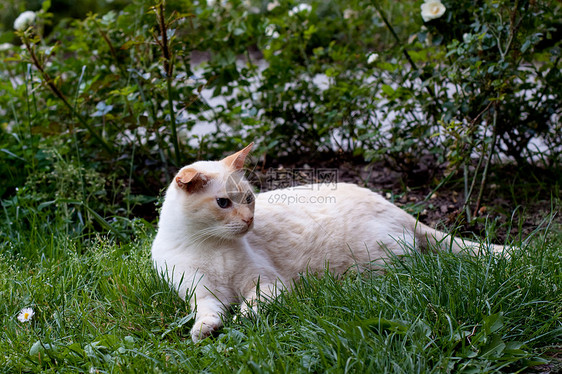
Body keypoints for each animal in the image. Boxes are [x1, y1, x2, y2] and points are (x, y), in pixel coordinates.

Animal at [150, 143, 504, 342]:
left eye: (249, 199)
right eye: (223, 203)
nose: (250, 220)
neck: (209, 245)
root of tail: (396, 207)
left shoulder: (267, 284)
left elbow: (250, 308)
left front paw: (241, 320)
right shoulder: (201, 293)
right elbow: (208, 312)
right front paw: (204, 331)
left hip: (372, 262)